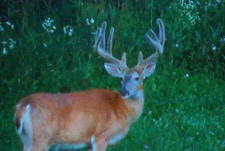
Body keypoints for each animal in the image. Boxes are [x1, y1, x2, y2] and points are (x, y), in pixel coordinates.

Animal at [14, 18, 165, 150]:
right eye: (121, 78)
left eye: (136, 78)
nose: (124, 91)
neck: (122, 111)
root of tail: (23, 105)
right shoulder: (100, 137)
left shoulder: (88, 144)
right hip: (40, 140)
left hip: (27, 140)